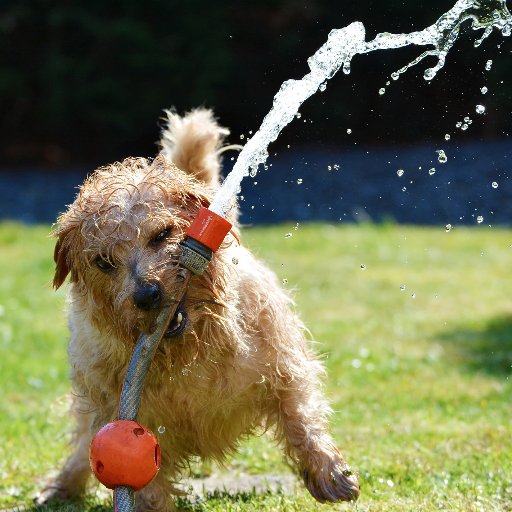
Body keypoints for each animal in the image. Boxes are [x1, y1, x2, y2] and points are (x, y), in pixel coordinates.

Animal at [41, 109, 360, 512]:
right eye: (103, 262)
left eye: (162, 234)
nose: (147, 294)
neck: (190, 353)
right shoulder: (129, 415)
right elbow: (146, 479)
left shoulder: (284, 365)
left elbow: (300, 416)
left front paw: (329, 473)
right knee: (84, 444)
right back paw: (61, 486)